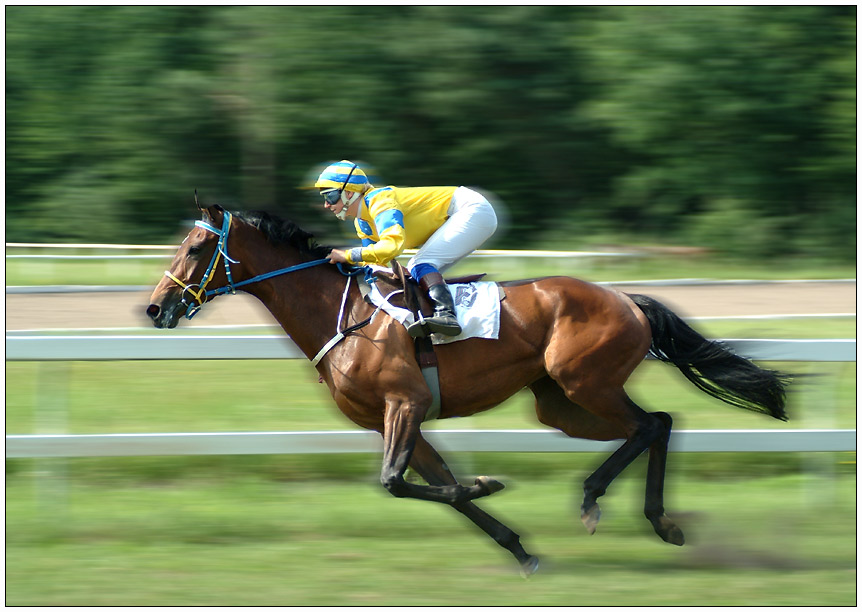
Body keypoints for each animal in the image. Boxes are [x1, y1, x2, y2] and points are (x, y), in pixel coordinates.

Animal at [147, 198, 788, 576]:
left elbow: (397, 483)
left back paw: (601, 501)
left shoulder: (405, 403)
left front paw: (488, 483)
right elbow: (436, 487)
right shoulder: (392, 419)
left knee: (650, 425)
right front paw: (518, 546)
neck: (342, 314)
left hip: (586, 381)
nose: (156, 307)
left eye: (197, 247)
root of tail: (626, 298)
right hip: (561, 404)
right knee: (657, 424)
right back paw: (657, 520)